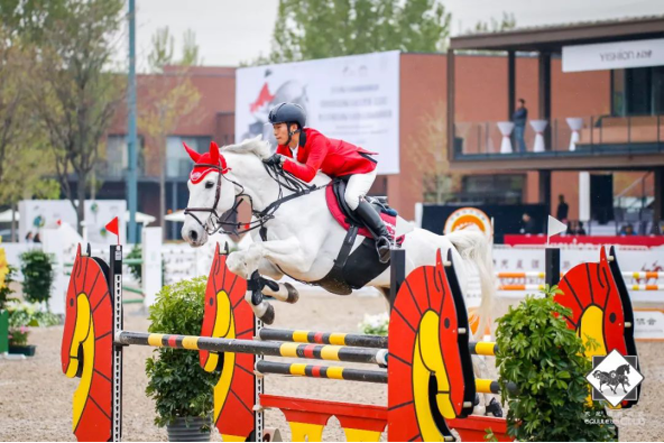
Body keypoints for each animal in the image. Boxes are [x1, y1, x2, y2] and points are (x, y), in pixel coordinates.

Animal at [182, 137, 498, 334]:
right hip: (392, 292)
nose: (190, 233)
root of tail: (448, 243)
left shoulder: (304, 259)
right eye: (188, 184)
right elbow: (244, 264)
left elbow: (248, 256)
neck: (281, 200)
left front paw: (267, 304)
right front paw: (275, 298)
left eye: (209, 184)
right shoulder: (279, 261)